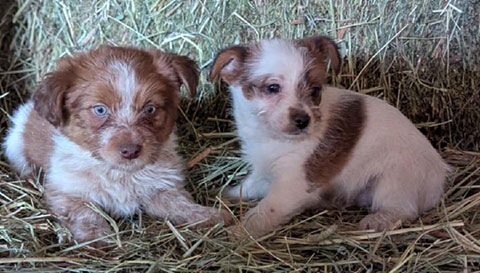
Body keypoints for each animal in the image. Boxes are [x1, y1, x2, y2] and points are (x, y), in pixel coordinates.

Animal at [3, 45, 232, 242]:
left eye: (150, 109)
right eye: (100, 109)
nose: (130, 151)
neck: (120, 174)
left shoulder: (162, 185)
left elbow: (180, 203)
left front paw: (210, 215)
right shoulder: (67, 191)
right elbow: (86, 215)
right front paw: (99, 239)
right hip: (15, 143)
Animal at [210, 36, 450, 236]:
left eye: (315, 91)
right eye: (272, 88)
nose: (303, 120)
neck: (272, 138)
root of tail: (442, 174)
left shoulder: (293, 183)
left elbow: (262, 213)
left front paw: (238, 233)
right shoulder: (263, 171)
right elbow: (247, 187)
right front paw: (225, 193)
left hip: (395, 179)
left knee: (403, 209)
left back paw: (378, 220)